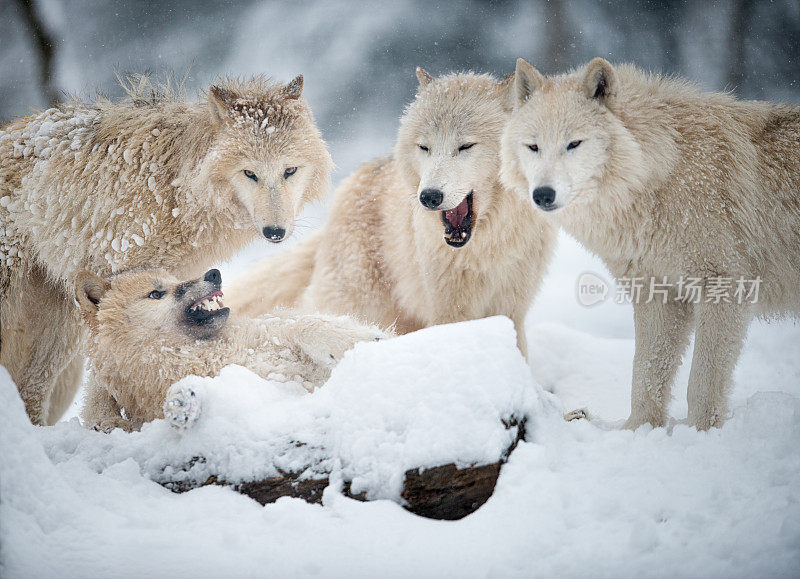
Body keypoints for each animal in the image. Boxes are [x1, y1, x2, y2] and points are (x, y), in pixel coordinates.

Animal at [0, 72, 332, 426]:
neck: (177, 190)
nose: (275, 232)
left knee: (32, 389)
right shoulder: (114, 270)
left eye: (290, 171)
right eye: (249, 173)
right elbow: (105, 363)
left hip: (59, 327)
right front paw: (104, 423)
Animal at [75, 268, 384, 430]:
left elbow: (307, 326)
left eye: (175, 280)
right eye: (156, 294)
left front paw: (367, 341)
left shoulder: (274, 328)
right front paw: (181, 404)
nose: (214, 273)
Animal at [225, 68, 556, 358]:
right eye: (424, 147)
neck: (485, 248)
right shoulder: (450, 312)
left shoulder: (511, 311)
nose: (429, 197)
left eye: (466, 146)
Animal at [500, 57, 800, 430]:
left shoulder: (725, 288)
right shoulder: (657, 293)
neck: (660, 172)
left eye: (574, 144)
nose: (543, 194)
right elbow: (645, 373)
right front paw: (637, 430)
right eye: (533, 146)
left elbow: (701, 383)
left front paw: (700, 434)